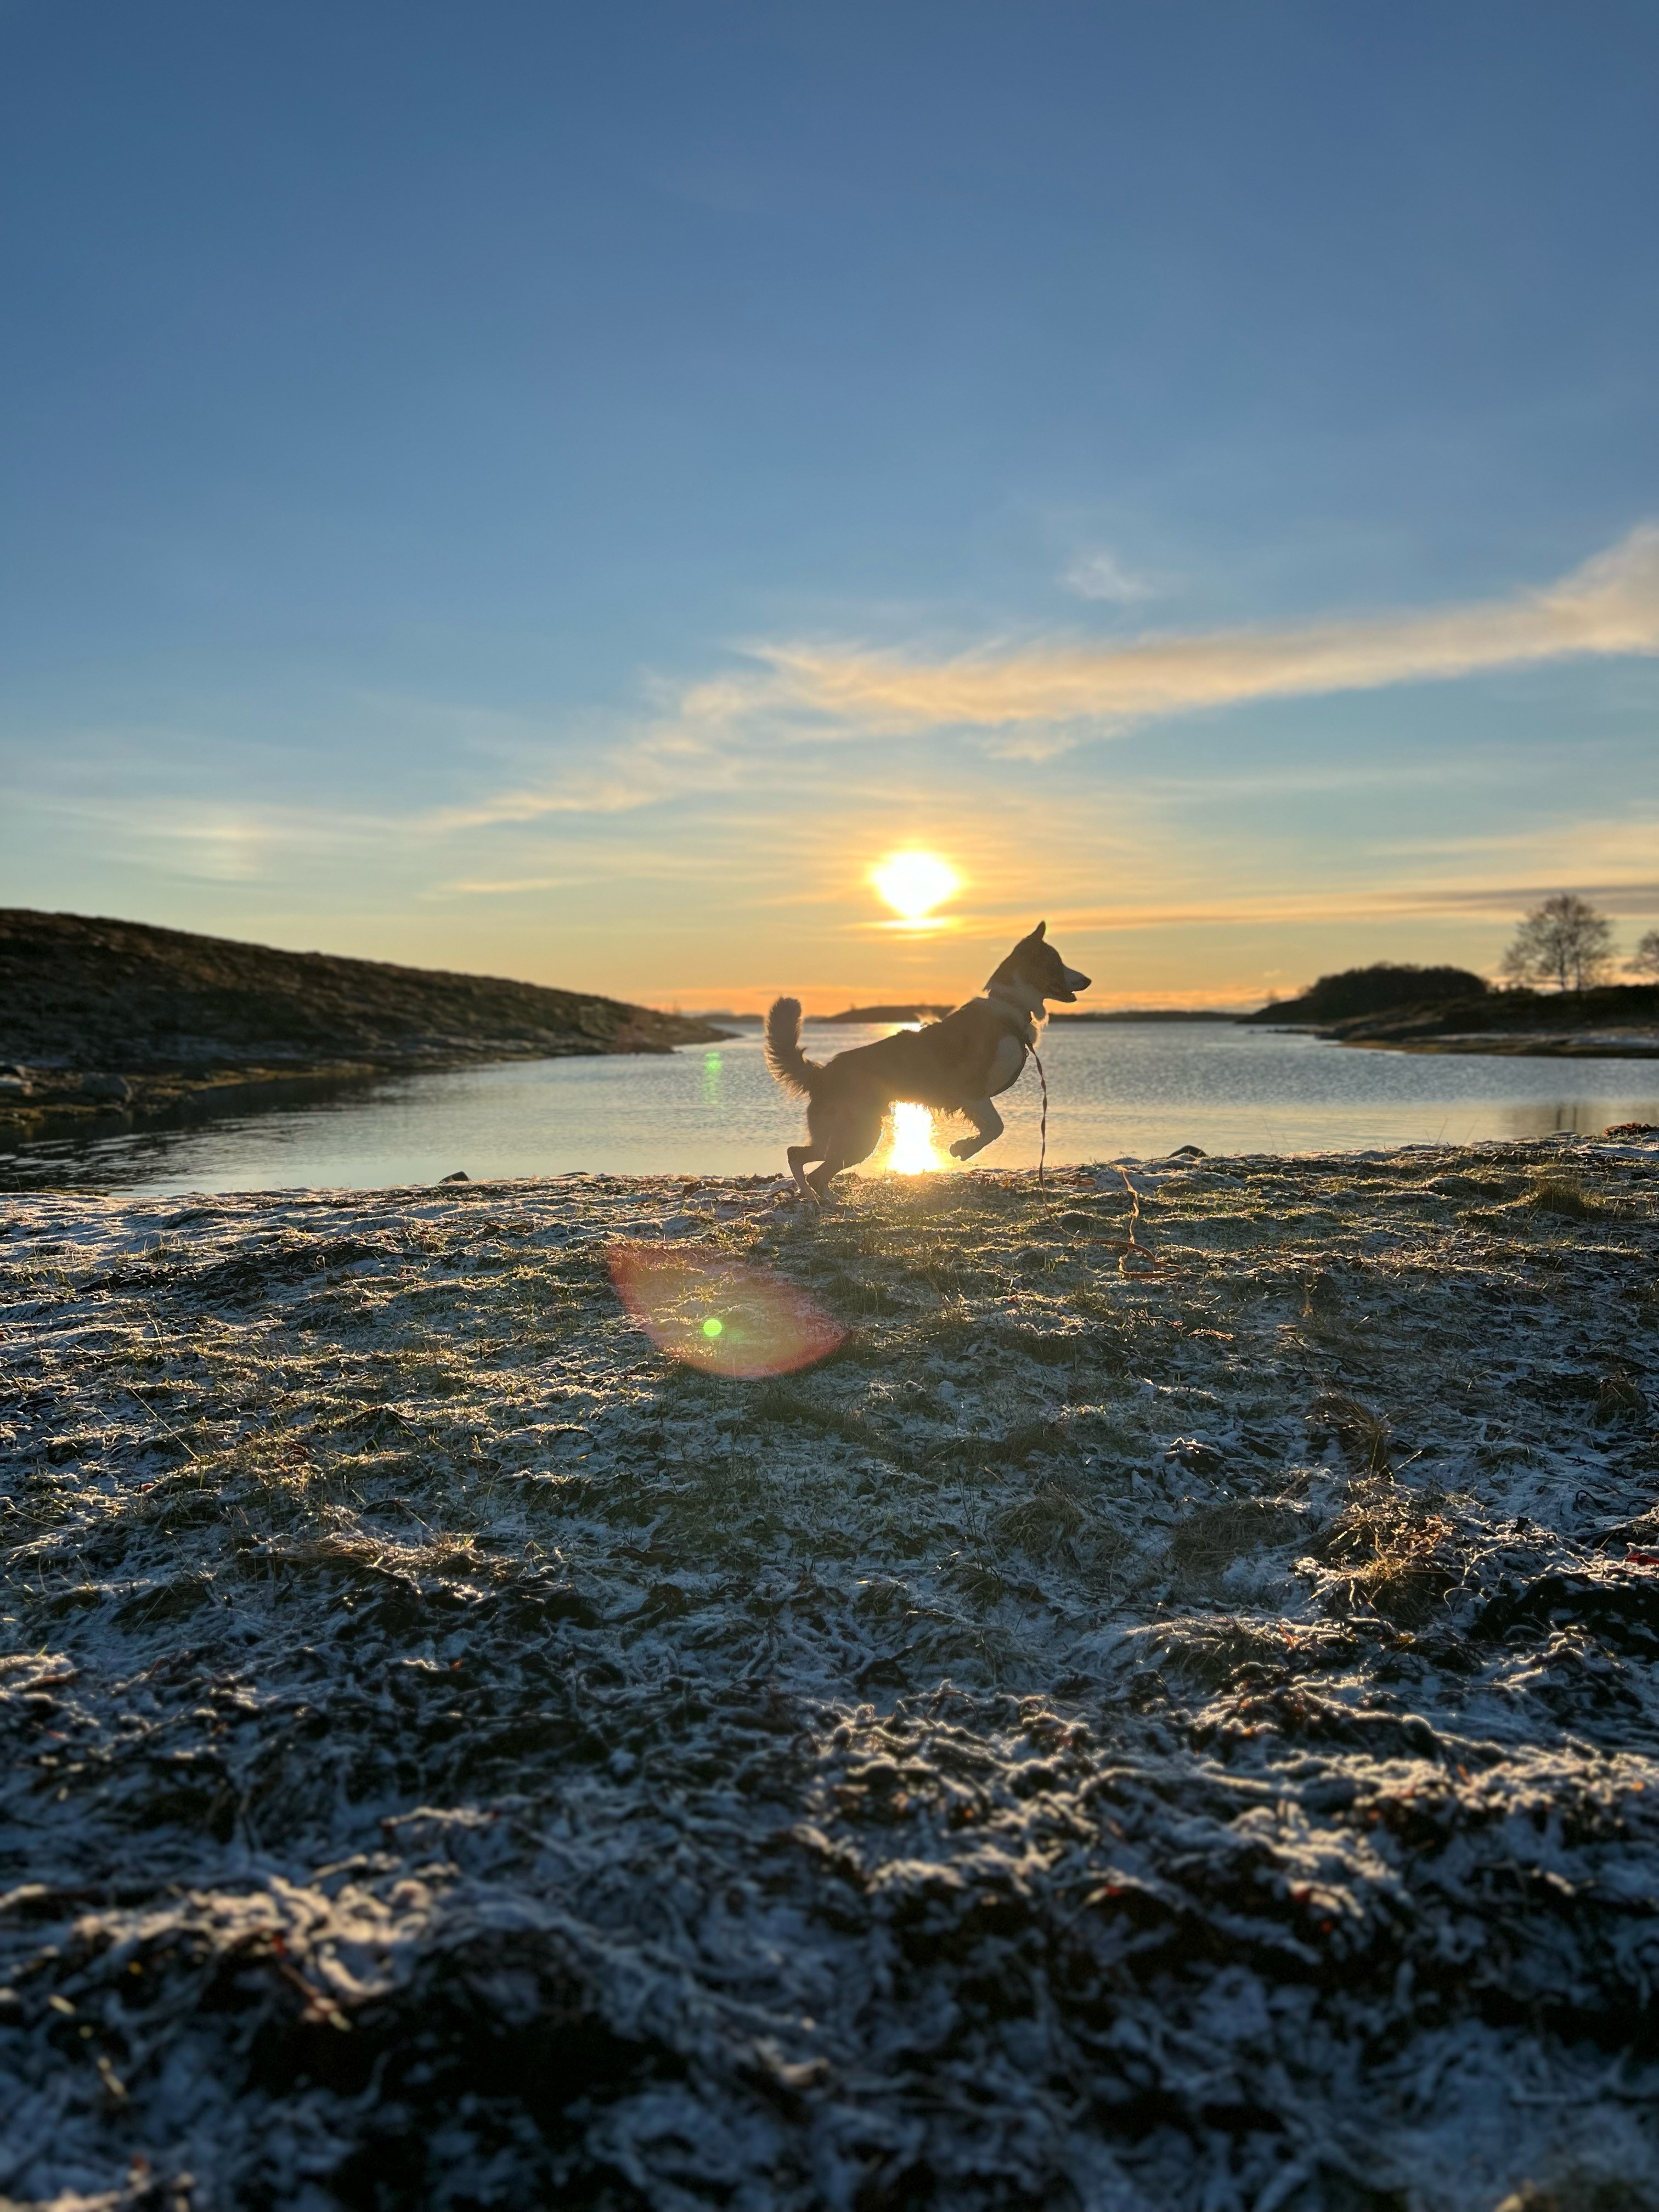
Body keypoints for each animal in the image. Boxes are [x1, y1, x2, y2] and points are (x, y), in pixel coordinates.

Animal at [765, 916, 1092, 1194]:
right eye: (1056, 963)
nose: (1087, 981)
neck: (1009, 1009)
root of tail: (822, 1074)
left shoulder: (973, 1099)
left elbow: (992, 1128)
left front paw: (965, 1147)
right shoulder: (970, 1091)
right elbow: (996, 1128)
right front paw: (964, 1148)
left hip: (839, 1137)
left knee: (799, 1156)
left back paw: (813, 1199)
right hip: (858, 1136)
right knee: (816, 1171)